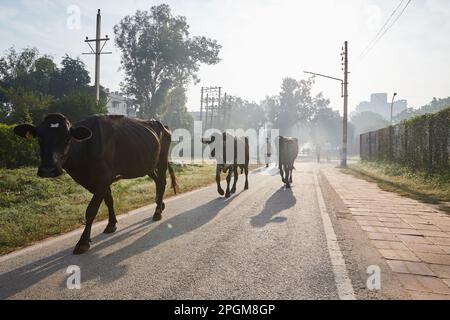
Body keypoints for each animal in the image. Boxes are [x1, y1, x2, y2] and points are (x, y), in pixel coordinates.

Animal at [14, 114, 177, 254]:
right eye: (40, 138)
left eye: (67, 139)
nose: (48, 169)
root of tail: (161, 124)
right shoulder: (98, 181)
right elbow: (109, 200)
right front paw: (111, 224)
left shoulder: (103, 178)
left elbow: (91, 210)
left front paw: (83, 242)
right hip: (146, 164)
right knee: (156, 180)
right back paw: (160, 204)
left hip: (161, 160)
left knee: (162, 182)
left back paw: (157, 212)